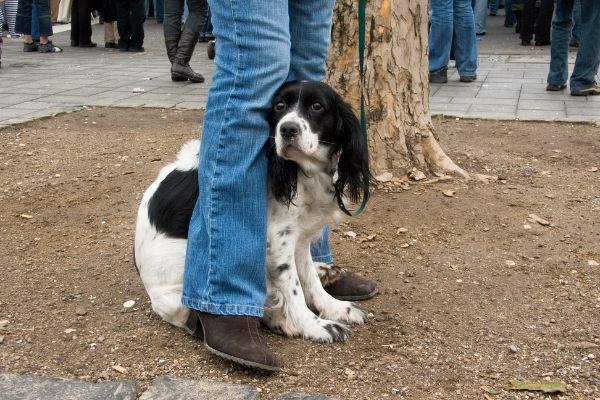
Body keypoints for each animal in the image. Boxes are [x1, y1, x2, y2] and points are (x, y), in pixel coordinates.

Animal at [134, 81, 372, 344]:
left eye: (317, 106)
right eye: (279, 105)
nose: (287, 129)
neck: (301, 172)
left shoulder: (299, 237)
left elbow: (308, 278)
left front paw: (336, 307)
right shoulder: (278, 239)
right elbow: (293, 288)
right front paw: (315, 325)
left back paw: (325, 271)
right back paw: (280, 319)